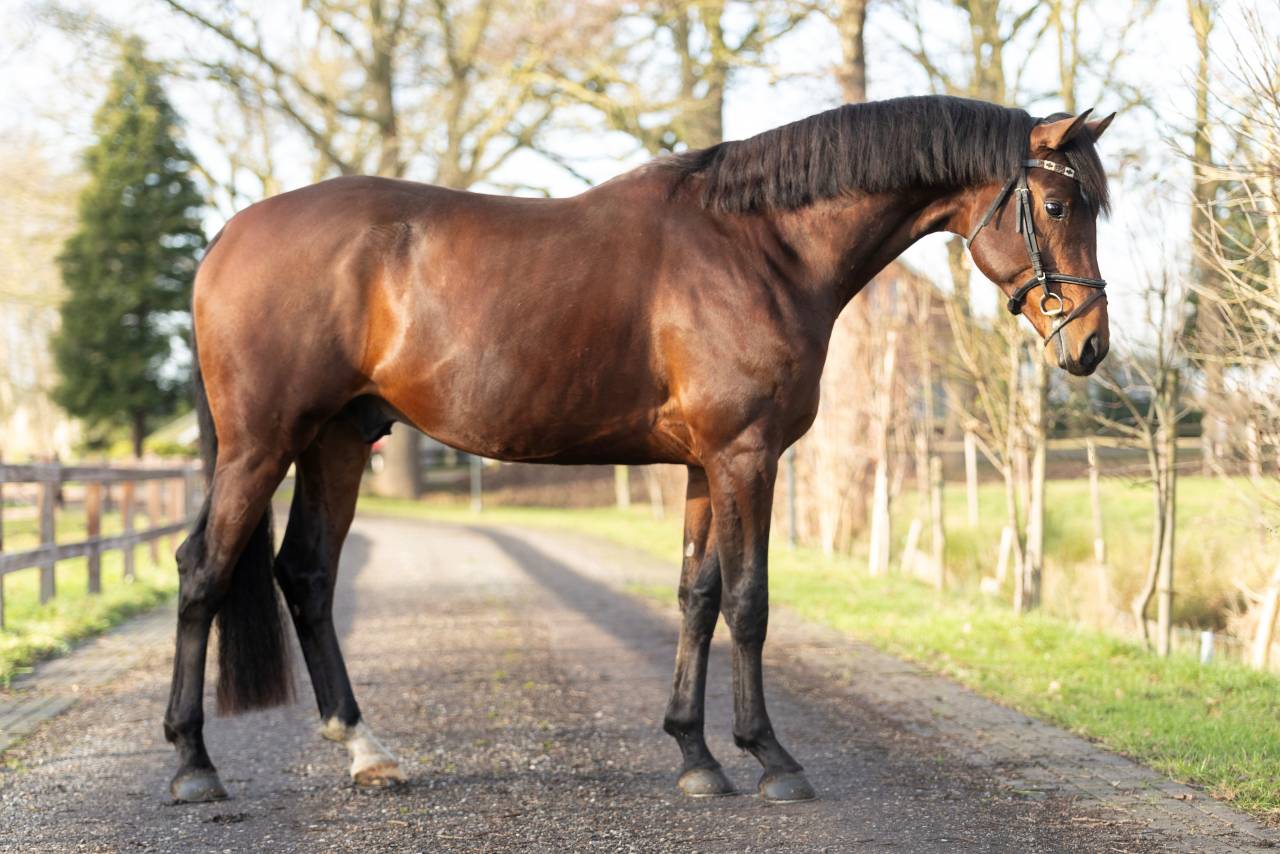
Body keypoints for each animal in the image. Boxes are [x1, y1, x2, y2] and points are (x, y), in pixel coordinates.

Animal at [164, 95, 1115, 804]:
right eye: (1058, 205)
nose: (1090, 346)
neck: (759, 247)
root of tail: (228, 237)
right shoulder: (745, 457)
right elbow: (749, 605)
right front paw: (772, 759)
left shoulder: (704, 465)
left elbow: (697, 598)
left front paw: (696, 756)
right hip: (261, 445)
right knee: (204, 572)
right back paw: (193, 767)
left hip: (337, 441)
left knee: (306, 574)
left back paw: (366, 751)